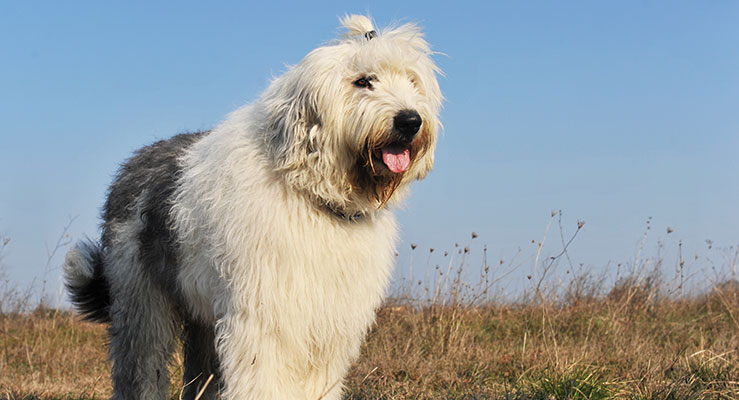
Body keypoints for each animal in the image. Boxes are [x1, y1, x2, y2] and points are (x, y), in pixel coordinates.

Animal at [63, 14, 442, 400]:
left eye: (412, 81)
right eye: (363, 81)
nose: (410, 121)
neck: (312, 194)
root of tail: (134, 160)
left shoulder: (328, 323)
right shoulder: (265, 317)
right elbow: (263, 377)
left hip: (202, 313)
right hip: (141, 297)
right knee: (142, 363)